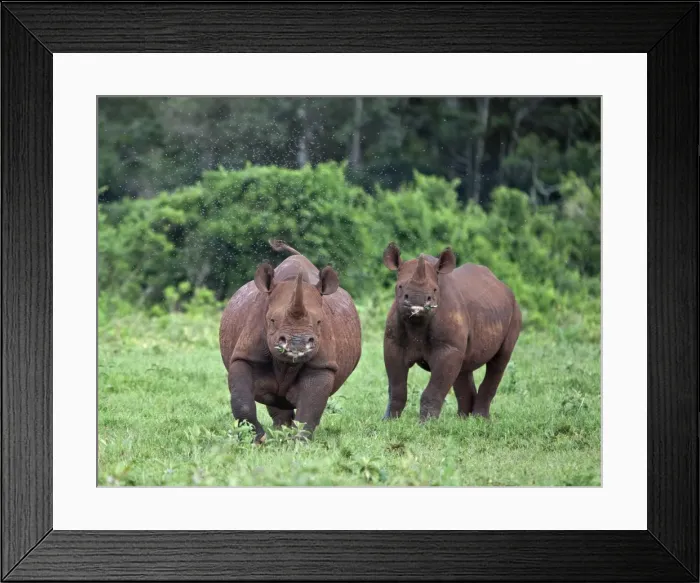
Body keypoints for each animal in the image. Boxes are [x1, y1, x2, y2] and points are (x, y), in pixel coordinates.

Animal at [219, 239, 362, 442]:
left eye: (319, 322)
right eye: (271, 320)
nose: (297, 343)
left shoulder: (321, 365)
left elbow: (310, 408)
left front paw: (298, 442)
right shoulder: (245, 356)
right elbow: (242, 401)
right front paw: (257, 440)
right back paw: (278, 431)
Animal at [381, 242, 522, 421]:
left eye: (435, 290)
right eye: (399, 286)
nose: (416, 300)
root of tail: (503, 285)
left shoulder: (447, 349)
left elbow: (434, 390)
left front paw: (426, 424)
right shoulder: (393, 345)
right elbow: (396, 388)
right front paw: (389, 421)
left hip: (515, 311)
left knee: (500, 360)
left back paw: (479, 419)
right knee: (464, 367)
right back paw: (463, 420)